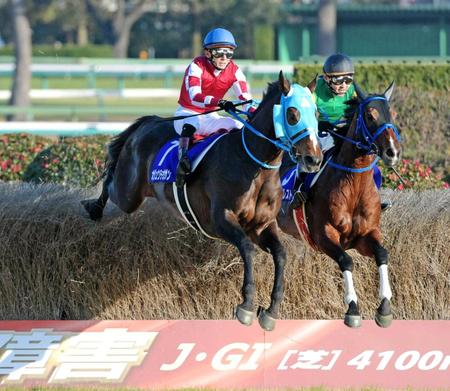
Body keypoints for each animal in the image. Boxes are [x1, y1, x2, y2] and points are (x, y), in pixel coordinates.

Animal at [83, 71, 324, 330]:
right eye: (292, 114)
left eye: (316, 113)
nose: (314, 159)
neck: (253, 165)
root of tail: (149, 122)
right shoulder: (220, 220)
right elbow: (247, 249)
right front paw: (246, 305)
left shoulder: (262, 226)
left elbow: (280, 255)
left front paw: (271, 311)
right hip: (128, 194)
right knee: (110, 181)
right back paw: (93, 207)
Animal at [278, 81, 400, 330]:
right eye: (370, 115)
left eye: (391, 114)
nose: (392, 152)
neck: (353, 186)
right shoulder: (324, 236)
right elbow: (346, 260)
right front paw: (352, 308)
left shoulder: (365, 236)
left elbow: (382, 254)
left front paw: (384, 306)